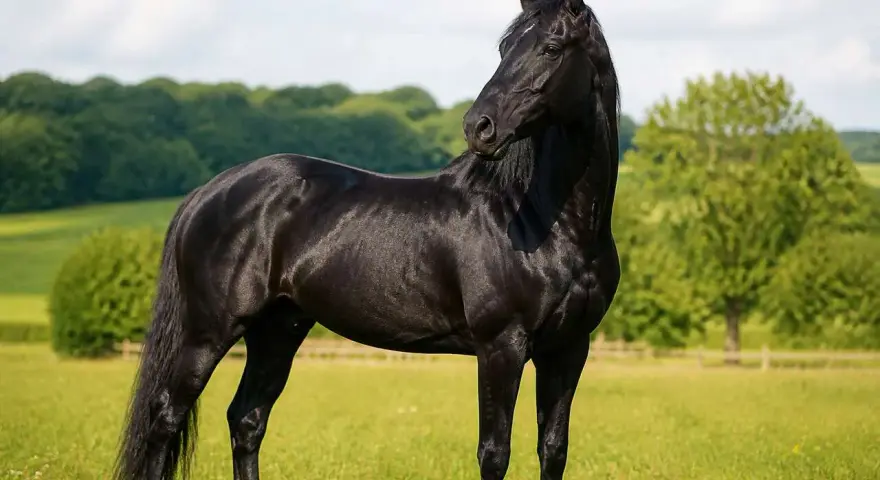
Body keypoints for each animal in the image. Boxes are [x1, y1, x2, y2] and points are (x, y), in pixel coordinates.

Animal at [113, 0, 620, 478]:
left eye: (551, 48)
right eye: (504, 49)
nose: (479, 126)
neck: (543, 218)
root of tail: (209, 191)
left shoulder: (569, 348)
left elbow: (552, 451)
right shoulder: (501, 345)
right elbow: (494, 455)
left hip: (277, 329)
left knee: (247, 420)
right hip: (208, 331)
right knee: (165, 419)